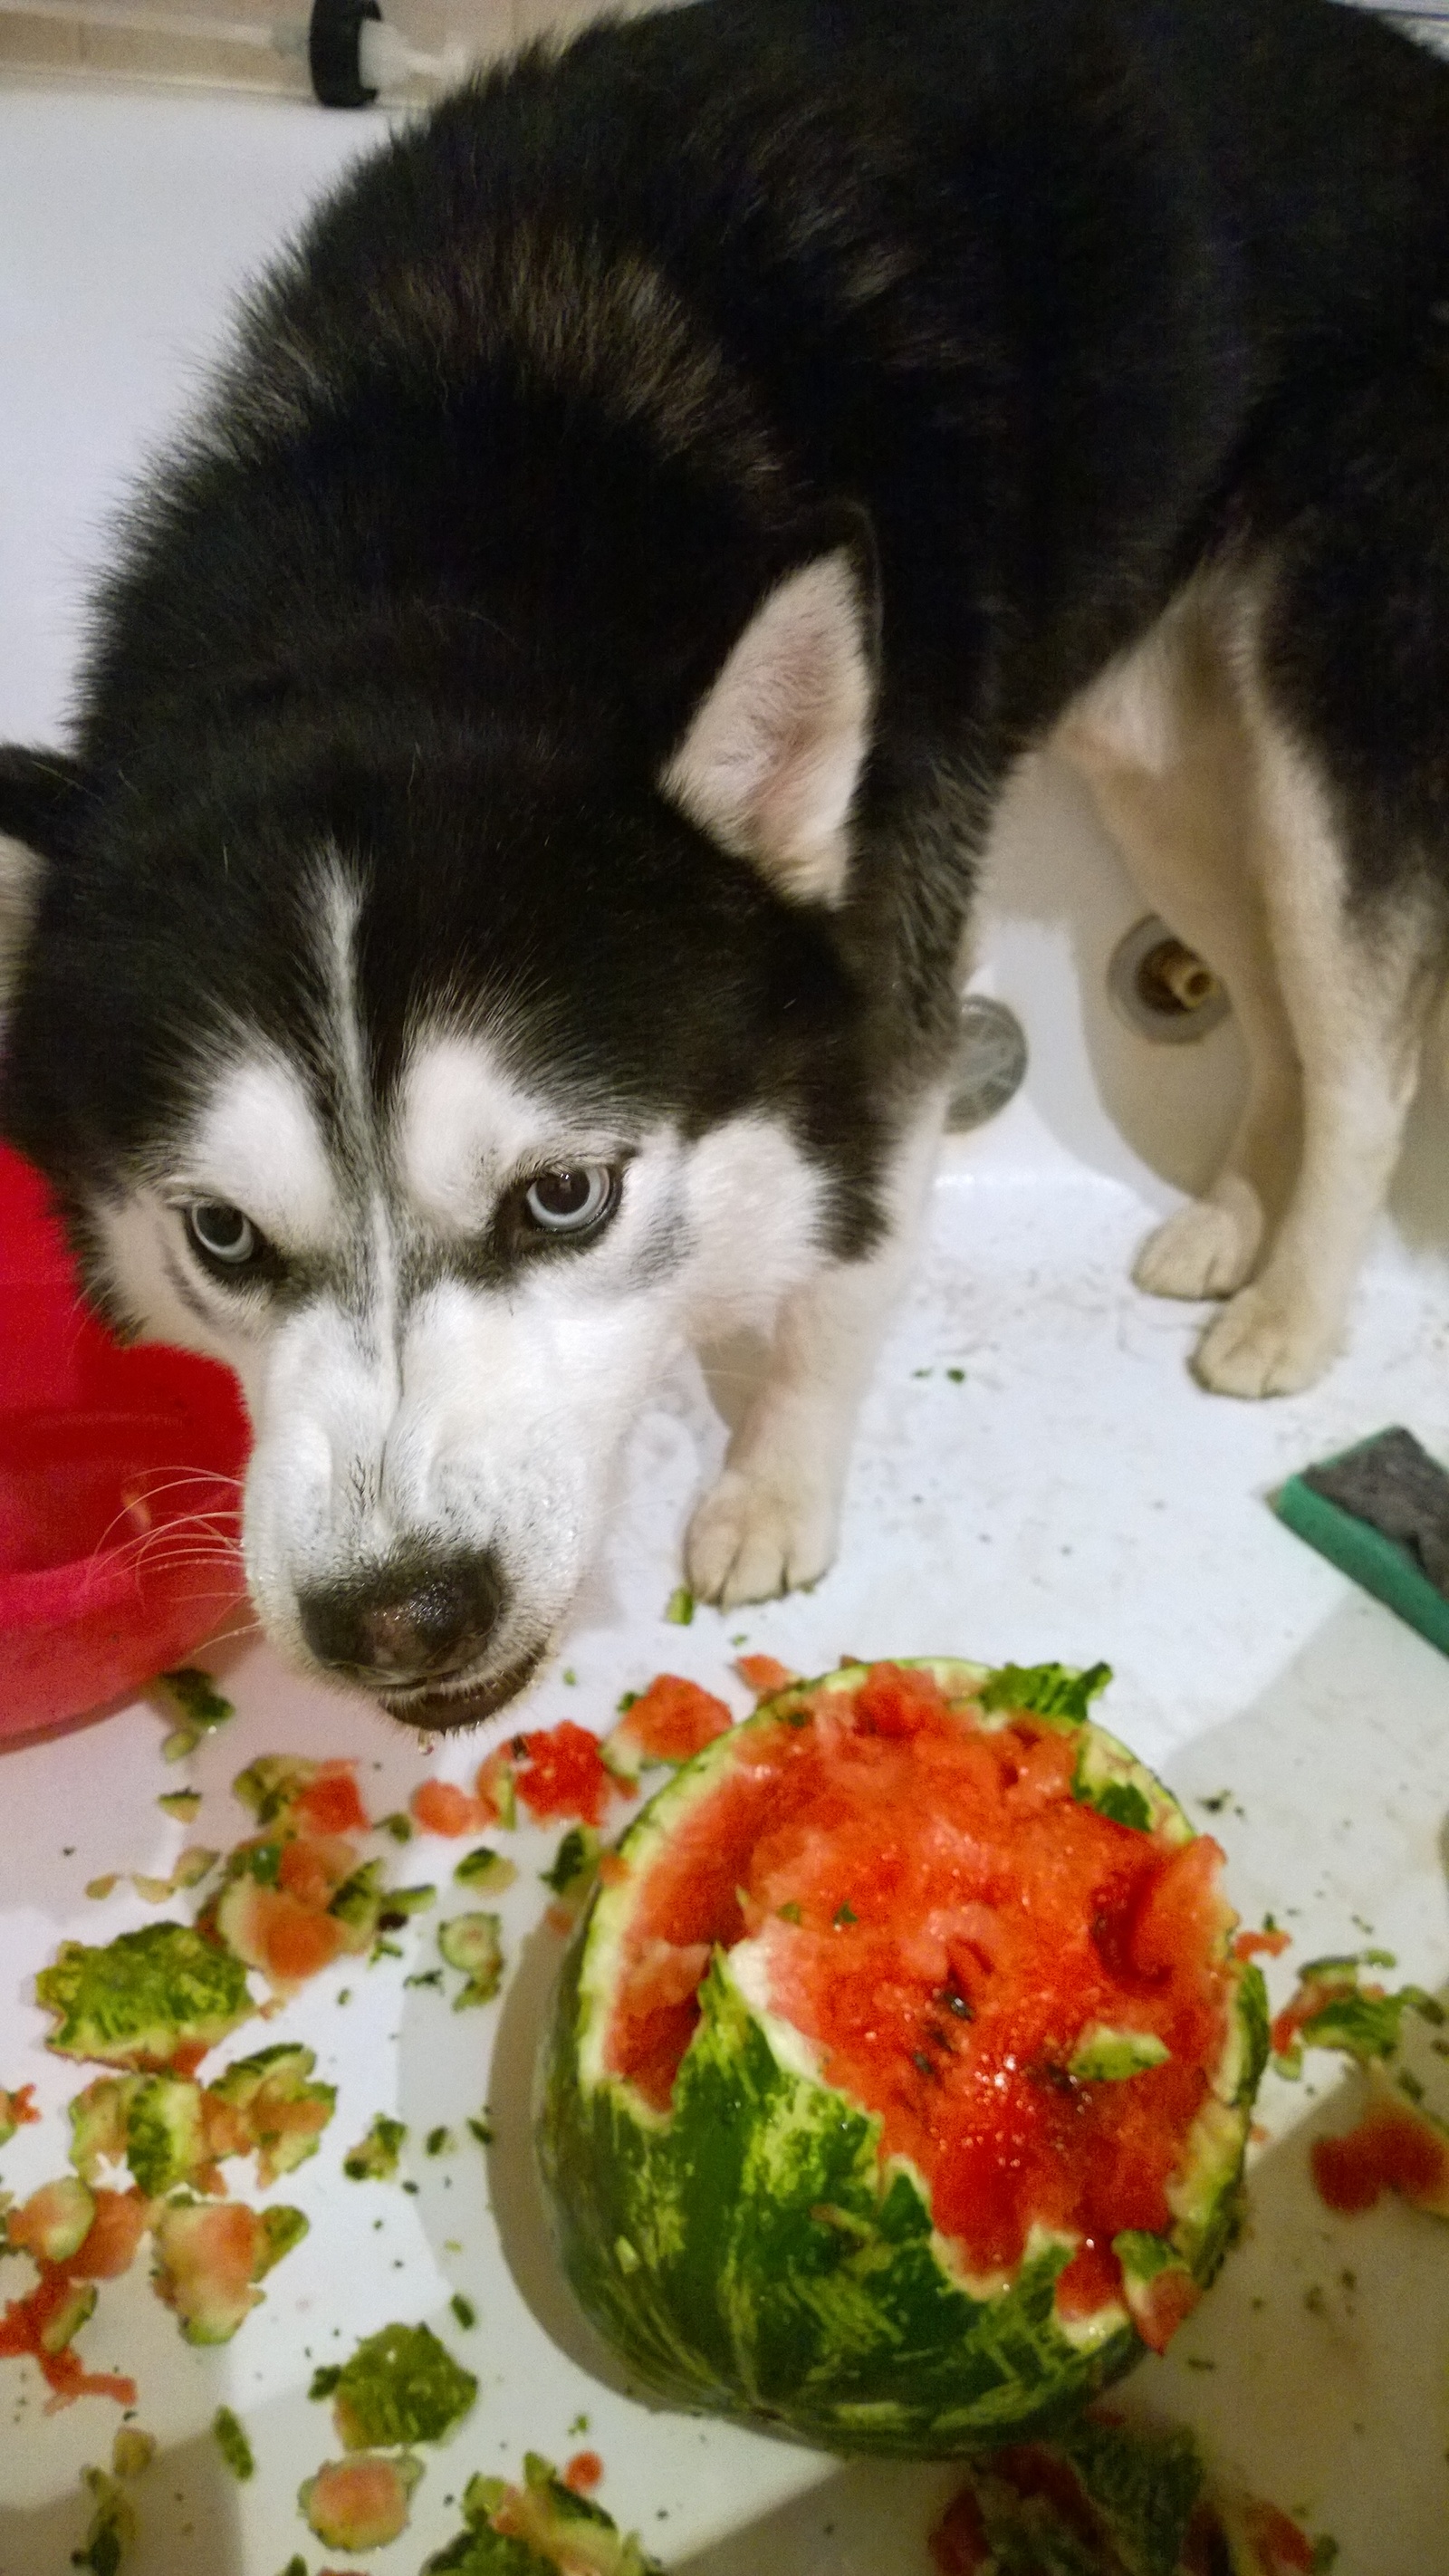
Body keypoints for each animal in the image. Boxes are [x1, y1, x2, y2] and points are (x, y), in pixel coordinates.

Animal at [3, 5, 1449, 1731]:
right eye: (220, 1234)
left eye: (563, 1197)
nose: (397, 1614)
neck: (438, 538)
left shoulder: (888, 982)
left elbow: (846, 1268)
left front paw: (777, 1488)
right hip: (1151, 737)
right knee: (1270, 994)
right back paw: (1233, 1215)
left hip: (1312, 728)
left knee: (1361, 1044)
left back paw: (1296, 1307)